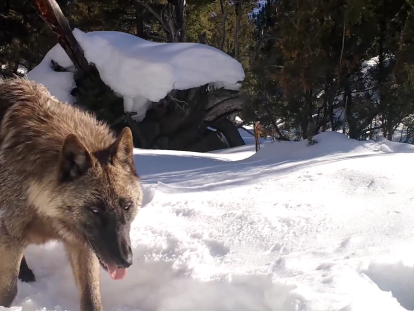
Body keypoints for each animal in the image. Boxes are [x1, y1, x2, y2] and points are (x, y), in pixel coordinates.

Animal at [0, 78, 143, 311]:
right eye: (95, 210)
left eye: (127, 206)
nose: (125, 261)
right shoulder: (11, 235)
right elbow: (8, 291)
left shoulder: (82, 246)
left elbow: (91, 299)